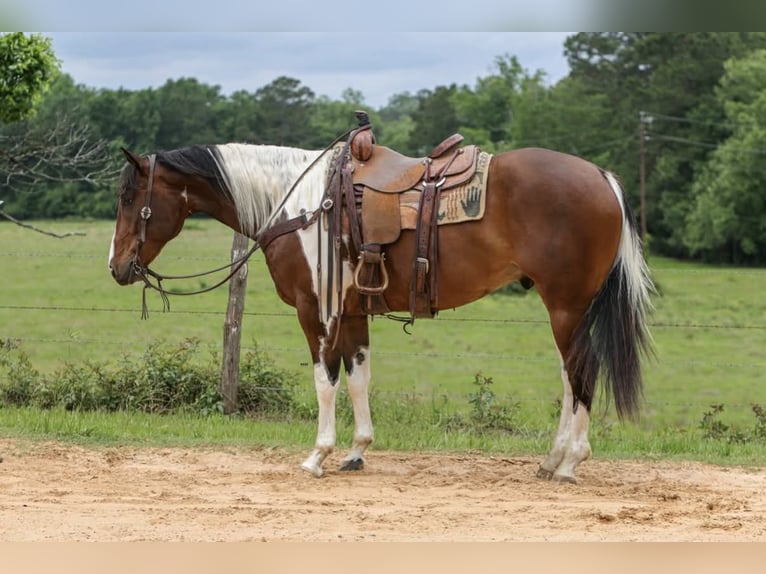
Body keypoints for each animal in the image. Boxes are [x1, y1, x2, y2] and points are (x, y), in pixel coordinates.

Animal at [108, 125, 653, 484]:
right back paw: (550, 461)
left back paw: (569, 463)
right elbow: (357, 378)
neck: (302, 206)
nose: (116, 267)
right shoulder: (352, 314)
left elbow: (324, 381)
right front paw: (356, 452)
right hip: (564, 309)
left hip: (566, 307)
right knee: (568, 377)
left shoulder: (315, 311)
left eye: (129, 198)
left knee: (581, 373)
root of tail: (601, 176)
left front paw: (318, 456)